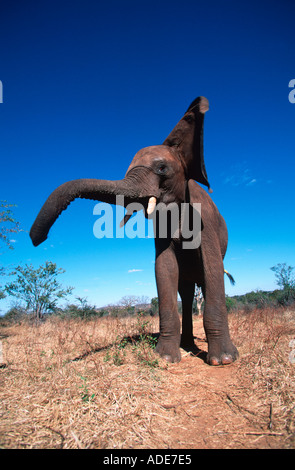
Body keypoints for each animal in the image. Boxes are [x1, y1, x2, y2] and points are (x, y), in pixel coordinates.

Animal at [30, 96, 239, 368]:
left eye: (161, 168)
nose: (37, 238)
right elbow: (164, 267)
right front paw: (165, 358)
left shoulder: (206, 221)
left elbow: (211, 266)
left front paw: (224, 360)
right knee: (185, 290)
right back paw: (187, 344)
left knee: (201, 283)